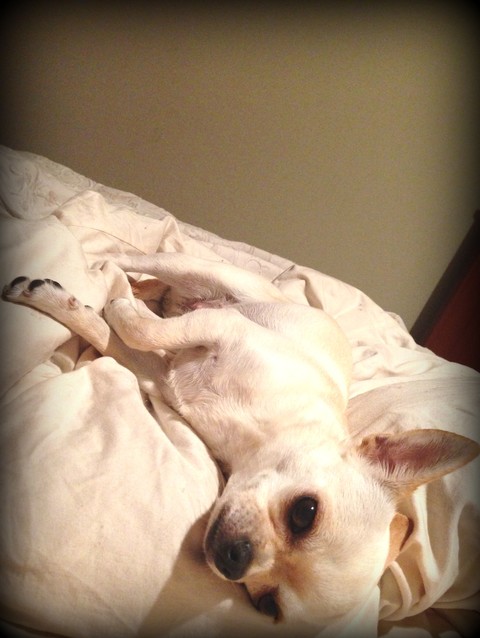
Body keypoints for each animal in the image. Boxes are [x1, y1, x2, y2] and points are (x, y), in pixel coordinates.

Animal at [3, 253, 479, 631]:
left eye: (265, 604)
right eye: (305, 513)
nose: (235, 558)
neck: (250, 439)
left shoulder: (159, 377)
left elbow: (109, 337)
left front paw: (72, 306)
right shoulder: (226, 329)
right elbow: (142, 330)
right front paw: (114, 304)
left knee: (159, 292)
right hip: (213, 277)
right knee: (139, 255)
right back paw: (106, 266)